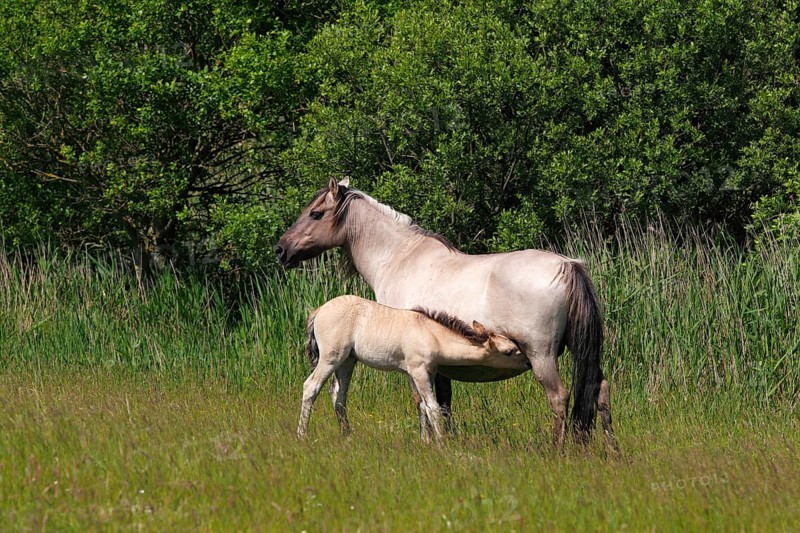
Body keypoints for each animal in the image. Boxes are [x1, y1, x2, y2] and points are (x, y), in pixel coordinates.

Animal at [298, 295, 530, 442]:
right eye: (510, 351)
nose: (529, 362)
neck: (431, 335)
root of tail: (318, 311)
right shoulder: (418, 371)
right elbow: (433, 407)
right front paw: (442, 443)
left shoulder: (424, 371)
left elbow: (422, 406)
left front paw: (426, 441)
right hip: (331, 357)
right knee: (311, 387)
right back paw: (302, 435)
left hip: (348, 361)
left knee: (338, 395)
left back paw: (348, 436)